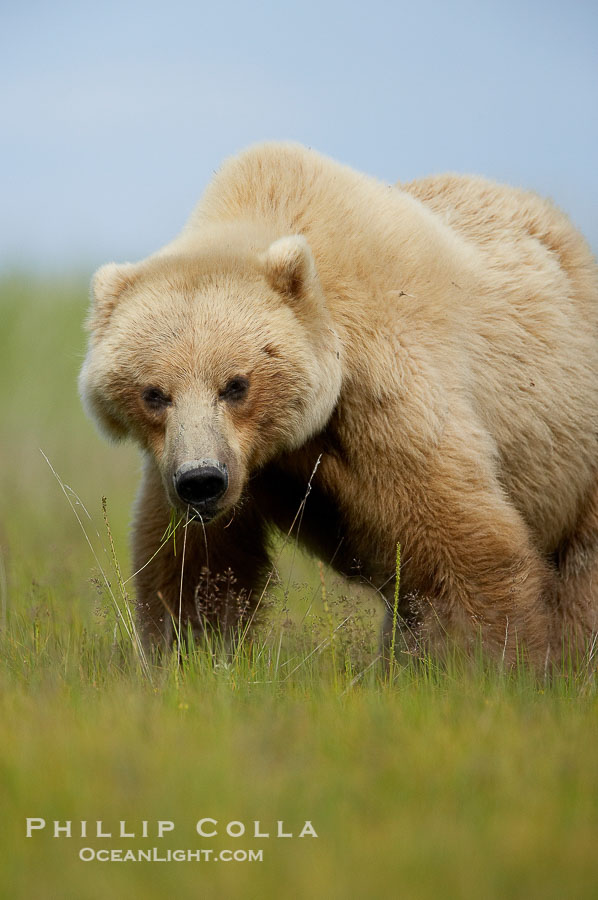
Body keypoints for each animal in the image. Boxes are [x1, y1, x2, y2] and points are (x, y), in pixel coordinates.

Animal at [79, 141, 598, 666]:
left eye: (236, 384)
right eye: (154, 393)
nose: (201, 481)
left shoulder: (385, 399)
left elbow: (464, 542)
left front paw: (495, 662)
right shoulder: (199, 467)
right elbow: (193, 566)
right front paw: (189, 652)